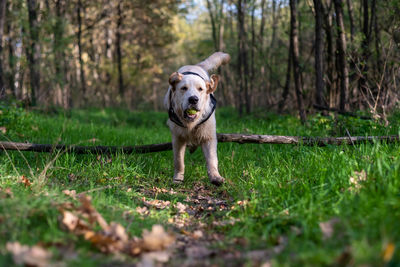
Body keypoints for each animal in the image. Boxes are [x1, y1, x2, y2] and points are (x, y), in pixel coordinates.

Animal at [163, 52, 231, 186]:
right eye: (183, 88)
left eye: (200, 89)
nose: (193, 99)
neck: (191, 123)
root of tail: (196, 65)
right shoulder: (177, 137)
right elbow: (178, 161)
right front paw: (177, 178)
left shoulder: (208, 135)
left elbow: (212, 159)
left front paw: (216, 177)